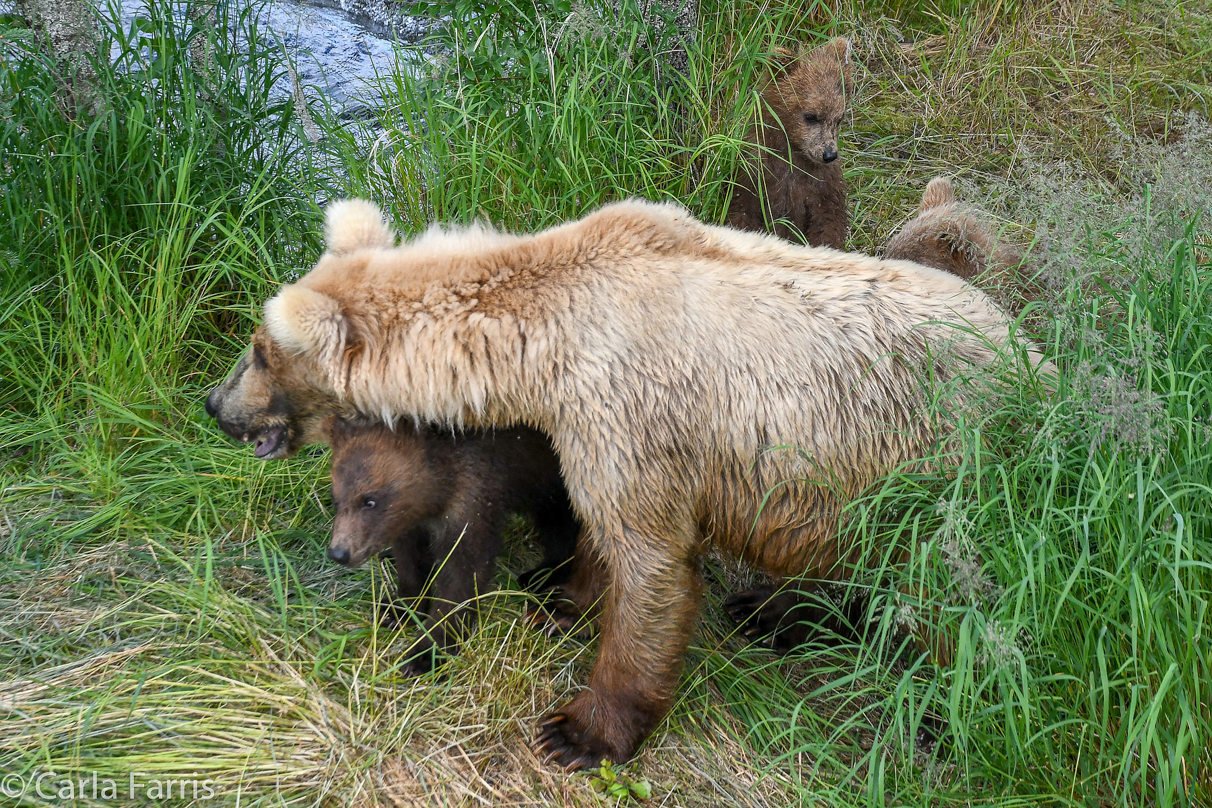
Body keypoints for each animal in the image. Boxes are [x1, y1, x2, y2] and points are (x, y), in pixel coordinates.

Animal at [208, 198, 1042, 770]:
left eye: (257, 349)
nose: (215, 406)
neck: (540, 343)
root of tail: (1039, 357)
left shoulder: (631, 413)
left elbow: (648, 562)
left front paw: (578, 730)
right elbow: (595, 537)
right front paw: (555, 590)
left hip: (939, 463)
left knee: (954, 597)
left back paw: (936, 710)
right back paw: (773, 612)